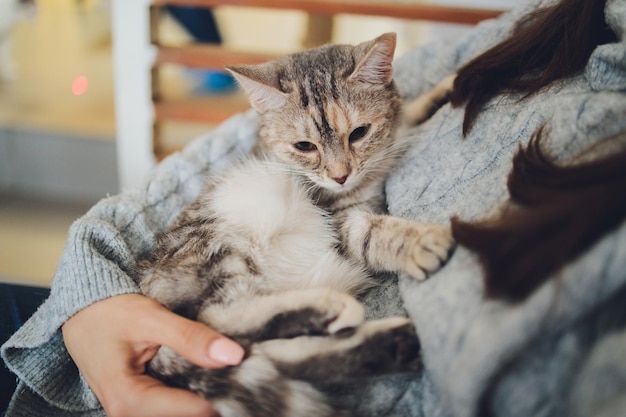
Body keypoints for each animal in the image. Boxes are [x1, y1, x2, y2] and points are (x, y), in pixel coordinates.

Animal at [135, 32, 454, 416]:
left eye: (359, 133)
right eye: (305, 146)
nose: (340, 176)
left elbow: (408, 117)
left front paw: (444, 89)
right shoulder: (337, 217)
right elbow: (372, 233)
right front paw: (421, 242)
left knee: (262, 352)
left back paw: (391, 344)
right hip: (218, 247)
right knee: (220, 318)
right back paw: (330, 309)